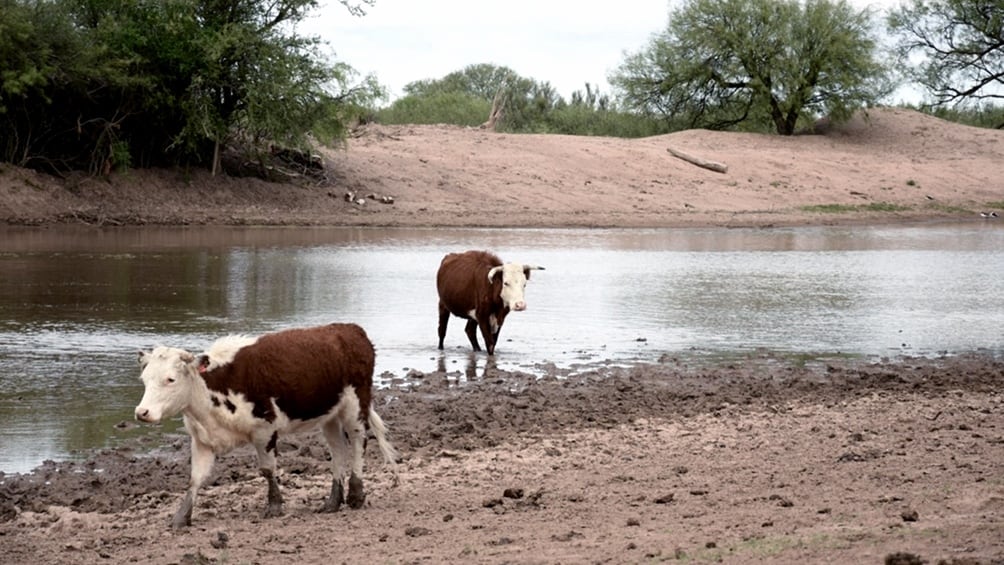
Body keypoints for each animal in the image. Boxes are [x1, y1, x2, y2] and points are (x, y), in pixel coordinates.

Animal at [135, 325, 393, 529]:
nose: (141, 413)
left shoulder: (264, 431)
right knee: (338, 450)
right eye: (144, 379)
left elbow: (268, 470)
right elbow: (195, 479)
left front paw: (274, 505)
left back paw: (356, 494)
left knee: (359, 442)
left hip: (355, 404)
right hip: (330, 414)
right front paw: (181, 517)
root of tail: (350, 329)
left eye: (170, 379)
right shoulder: (202, 440)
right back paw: (332, 502)